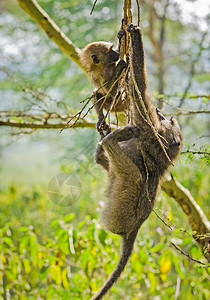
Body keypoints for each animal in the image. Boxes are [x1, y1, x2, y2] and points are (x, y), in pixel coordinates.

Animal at [90, 24, 182, 300]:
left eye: (169, 122)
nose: (162, 113)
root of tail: (133, 231)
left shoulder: (152, 133)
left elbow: (138, 88)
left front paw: (135, 35)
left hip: (121, 209)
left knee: (131, 173)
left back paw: (111, 139)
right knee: (106, 159)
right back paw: (104, 139)